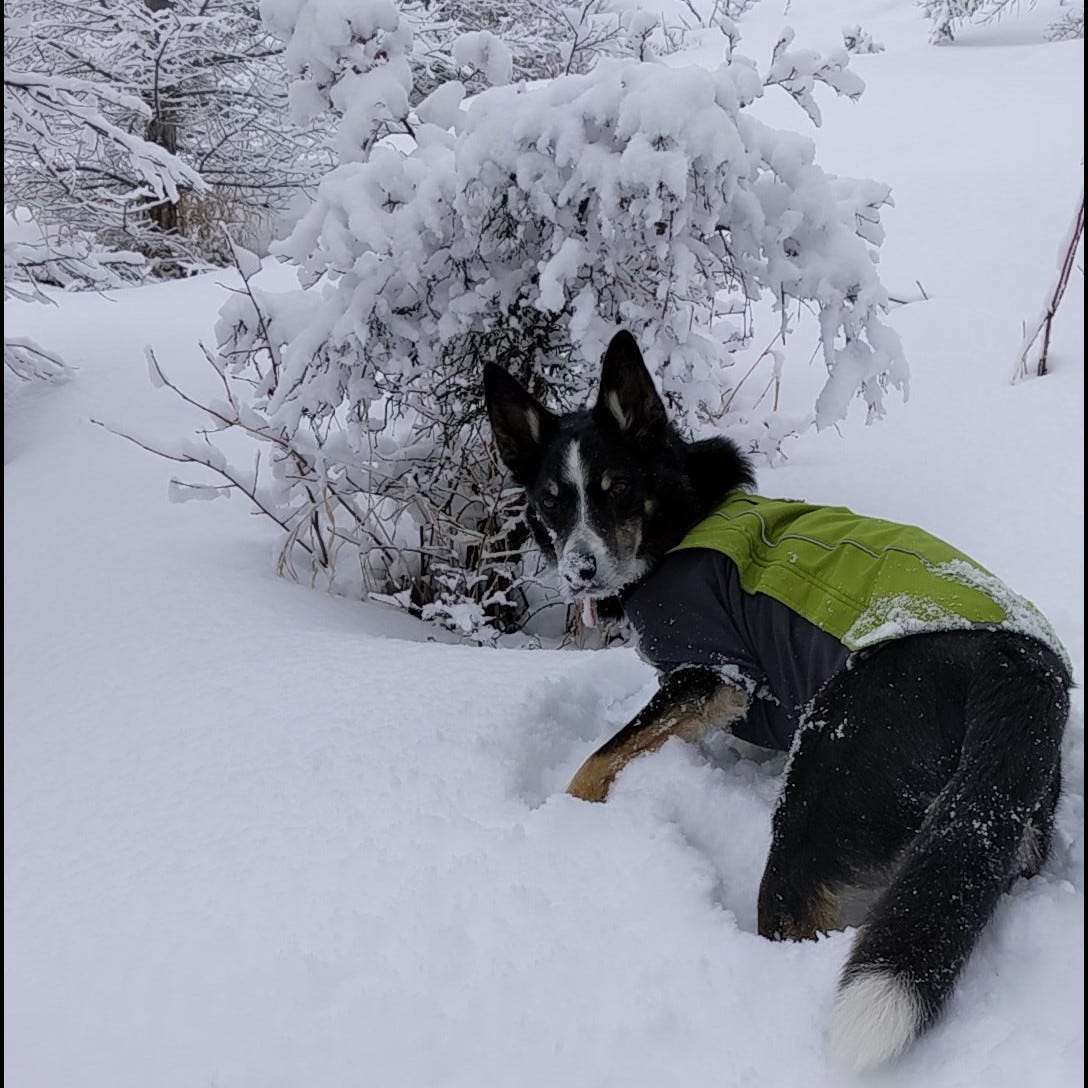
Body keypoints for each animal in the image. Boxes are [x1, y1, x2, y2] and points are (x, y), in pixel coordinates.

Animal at [483, 328, 1070, 1070]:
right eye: (554, 499)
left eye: (619, 491)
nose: (582, 571)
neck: (679, 521)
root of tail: (1019, 669)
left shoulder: (710, 672)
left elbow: (595, 760)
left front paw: (561, 821)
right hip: (1003, 825)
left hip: (830, 782)